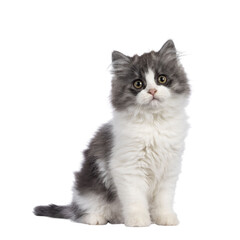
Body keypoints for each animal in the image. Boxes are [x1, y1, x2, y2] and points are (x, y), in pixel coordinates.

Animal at [34, 39, 191, 227]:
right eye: (138, 84)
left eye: (162, 79)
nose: (152, 91)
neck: (154, 123)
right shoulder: (128, 168)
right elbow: (135, 199)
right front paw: (138, 220)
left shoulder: (169, 169)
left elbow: (164, 199)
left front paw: (165, 218)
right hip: (88, 188)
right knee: (83, 210)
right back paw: (95, 218)